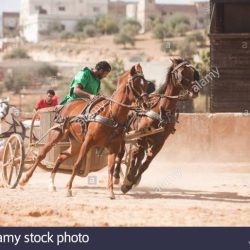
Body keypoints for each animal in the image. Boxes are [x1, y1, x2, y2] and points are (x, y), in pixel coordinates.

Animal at [19, 64, 148, 199]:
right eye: (136, 84)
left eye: (146, 84)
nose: (145, 103)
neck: (111, 115)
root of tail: (66, 106)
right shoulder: (88, 142)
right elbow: (77, 164)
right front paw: (68, 188)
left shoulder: (114, 146)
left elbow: (111, 168)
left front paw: (111, 191)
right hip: (57, 134)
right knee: (41, 155)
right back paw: (24, 181)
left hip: (75, 143)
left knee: (61, 156)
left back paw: (51, 183)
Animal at [114, 58, 201, 193]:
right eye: (181, 73)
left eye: (193, 73)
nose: (195, 90)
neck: (161, 111)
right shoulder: (142, 137)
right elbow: (137, 156)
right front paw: (128, 180)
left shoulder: (160, 142)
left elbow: (145, 164)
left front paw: (131, 181)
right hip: (125, 133)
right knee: (122, 152)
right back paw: (117, 175)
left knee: (135, 155)